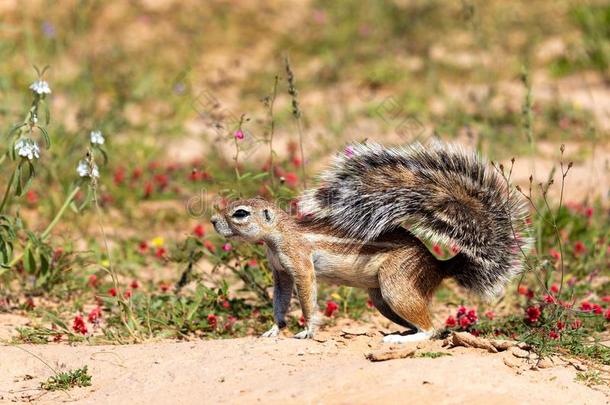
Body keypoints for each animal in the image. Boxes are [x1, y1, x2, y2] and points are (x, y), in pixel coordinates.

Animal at [211, 141, 528, 340]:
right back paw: (402, 332)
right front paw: (274, 330)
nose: (213, 221)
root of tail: (440, 264)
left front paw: (308, 330)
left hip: (396, 284)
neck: (279, 235)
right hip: (381, 299)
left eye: (240, 213)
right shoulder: (280, 273)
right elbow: (280, 301)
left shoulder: (300, 264)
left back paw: (403, 339)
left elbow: (307, 299)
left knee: (432, 329)